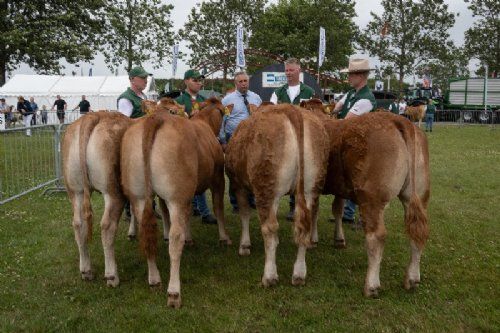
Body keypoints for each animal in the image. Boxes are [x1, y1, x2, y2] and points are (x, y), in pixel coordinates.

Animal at [61, 111, 133, 286]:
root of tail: (92, 116)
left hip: (75, 190)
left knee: (78, 224)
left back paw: (86, 271)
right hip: (113, 191)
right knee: (107, 226)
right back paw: (112, 276)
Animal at [120, 97, 231, 308]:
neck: (204, 123)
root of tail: (154, 119)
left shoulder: (182, 194)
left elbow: (178, 216)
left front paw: (190, 239)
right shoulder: (217, 179)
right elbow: (219, 208)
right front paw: (224, 238)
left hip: (139, 195)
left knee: (147, 234)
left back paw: (154, 279)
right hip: (176, 195)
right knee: (174, 239)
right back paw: (174, 293)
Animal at [226, 104, 328, 288]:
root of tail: (292, 110)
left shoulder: (238, 185)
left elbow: (244, 214)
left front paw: (244, 246)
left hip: (266, 188)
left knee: (270, 229)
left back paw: (269, 276)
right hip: (311, 186)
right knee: (305, 227)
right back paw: (299, 274)